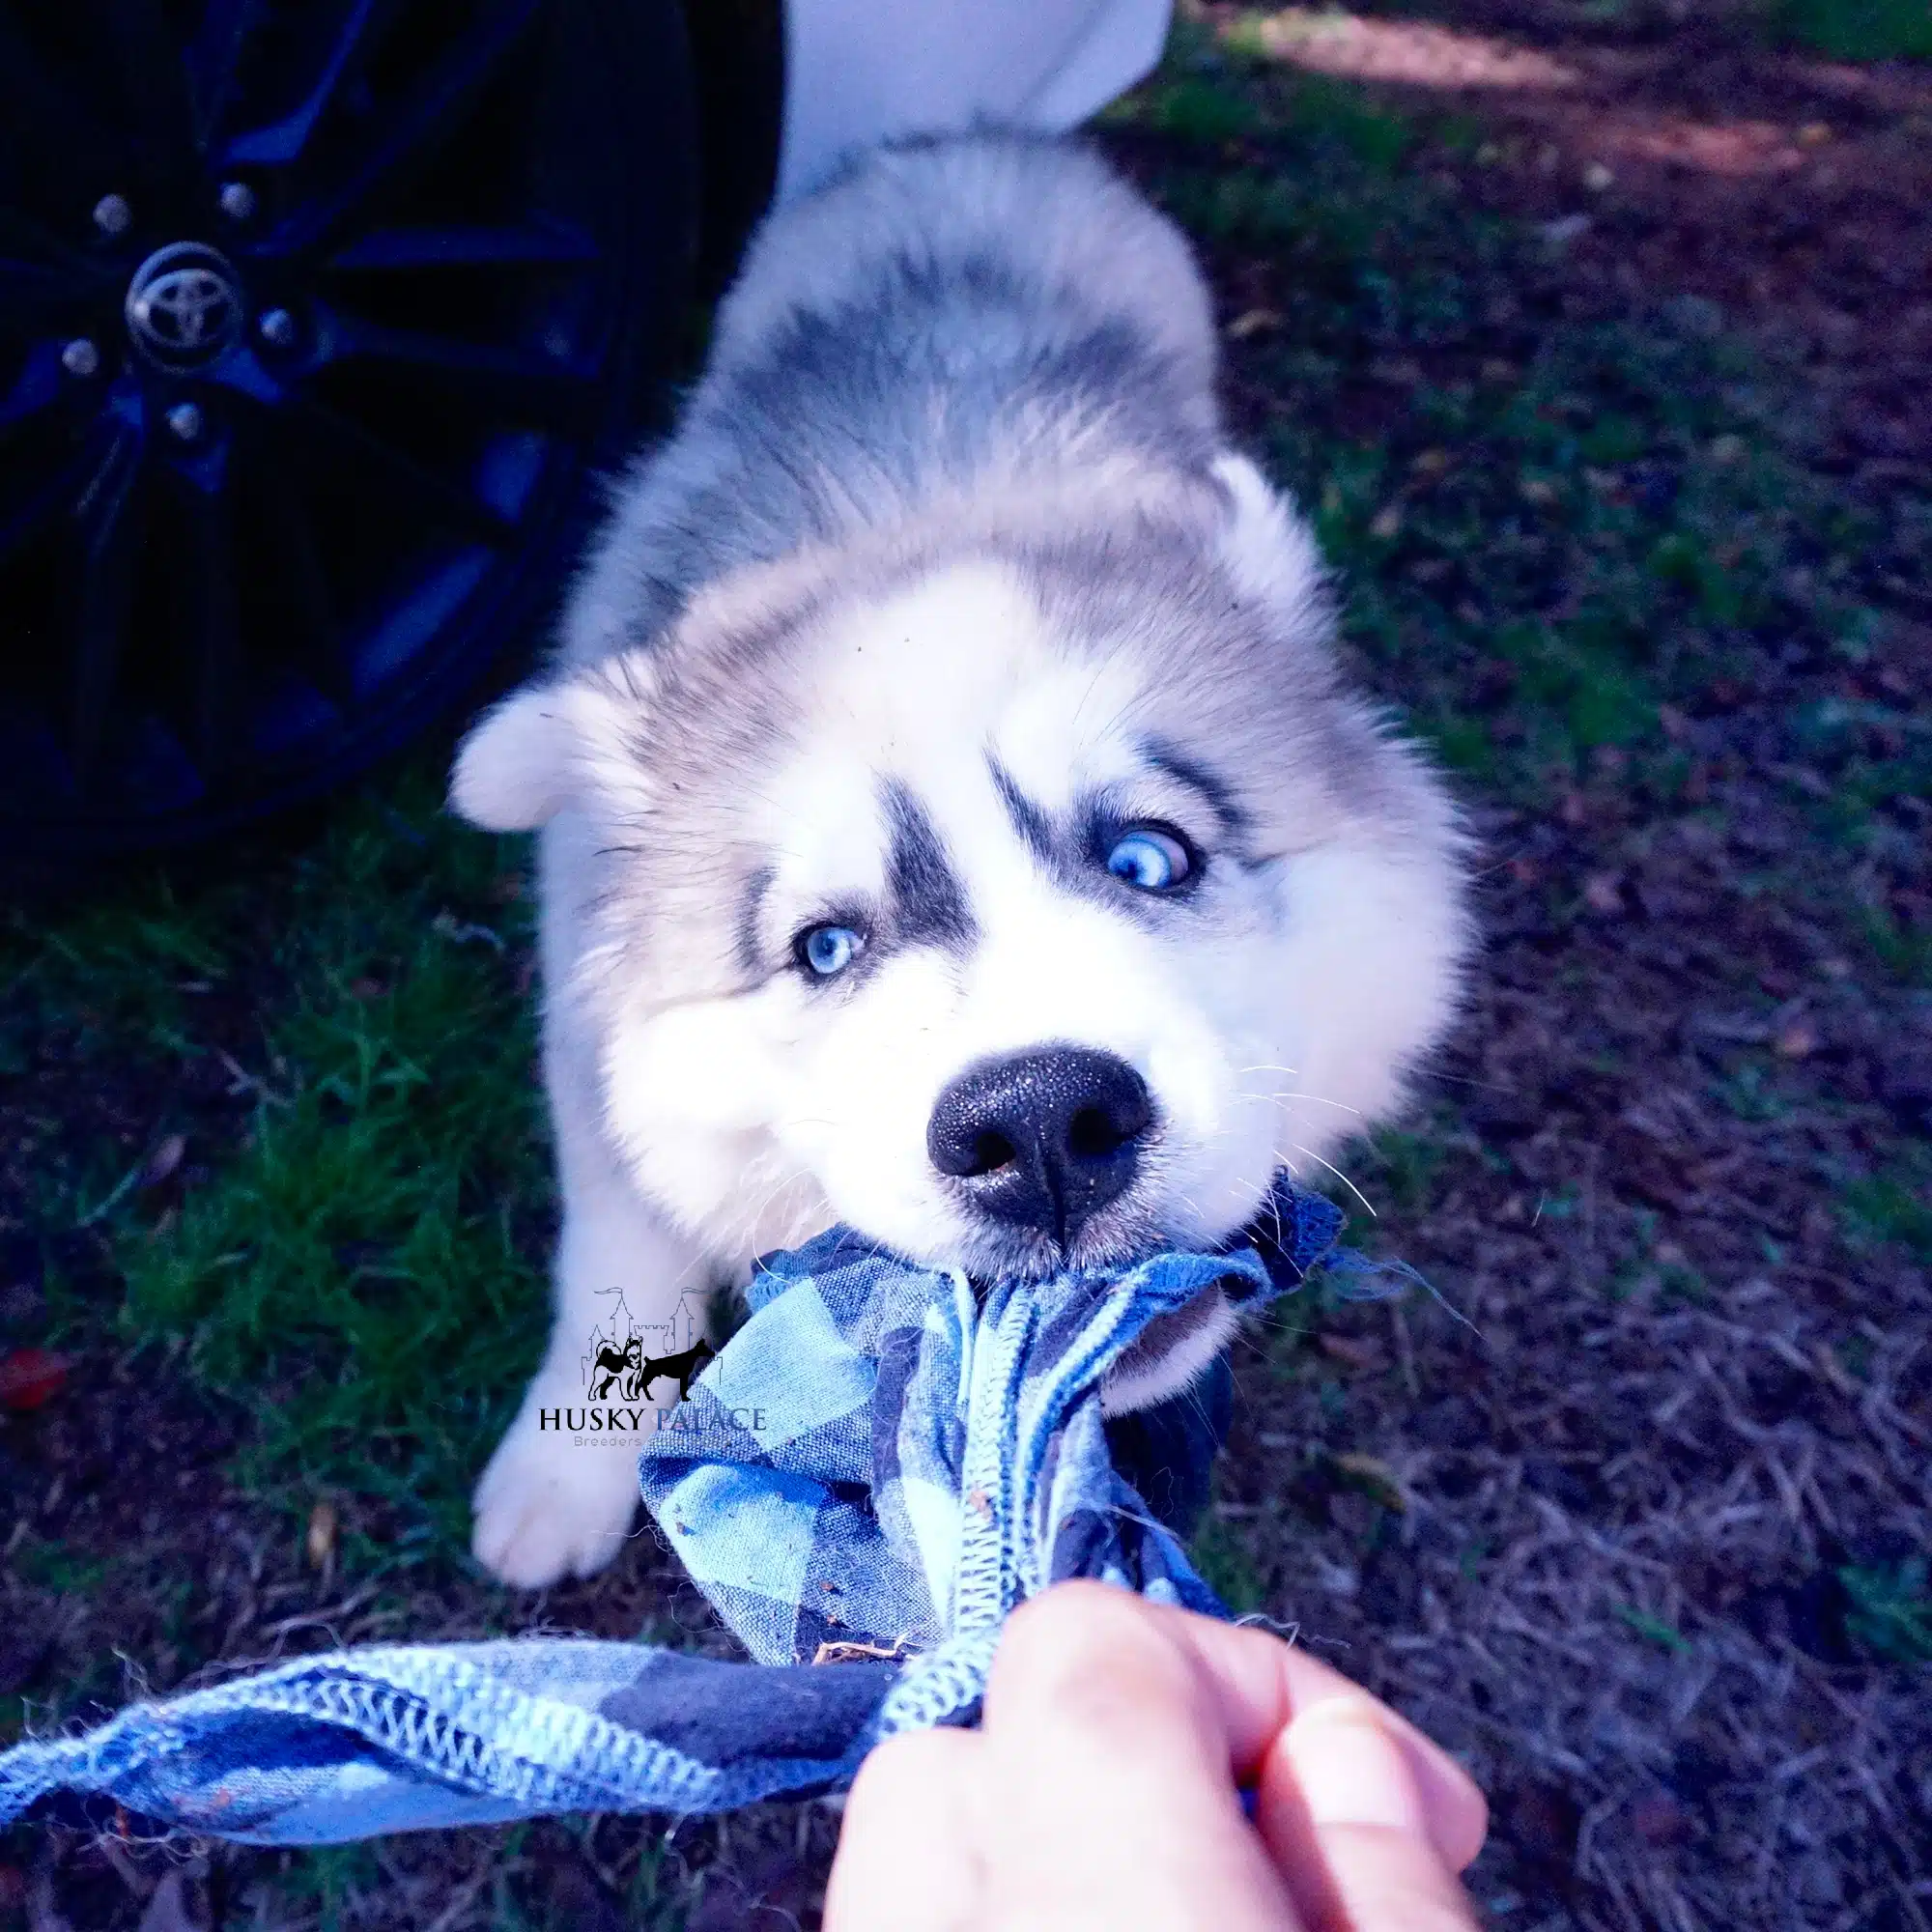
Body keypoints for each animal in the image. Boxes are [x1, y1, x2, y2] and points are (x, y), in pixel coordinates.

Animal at [448, 132, 1461, 1584]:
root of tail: (981, 137)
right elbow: (614, 1253)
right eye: (826, 947)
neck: (924, 505)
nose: (1041, 1123)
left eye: (1149, 859)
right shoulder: (588, 1052)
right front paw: (558, 1474)